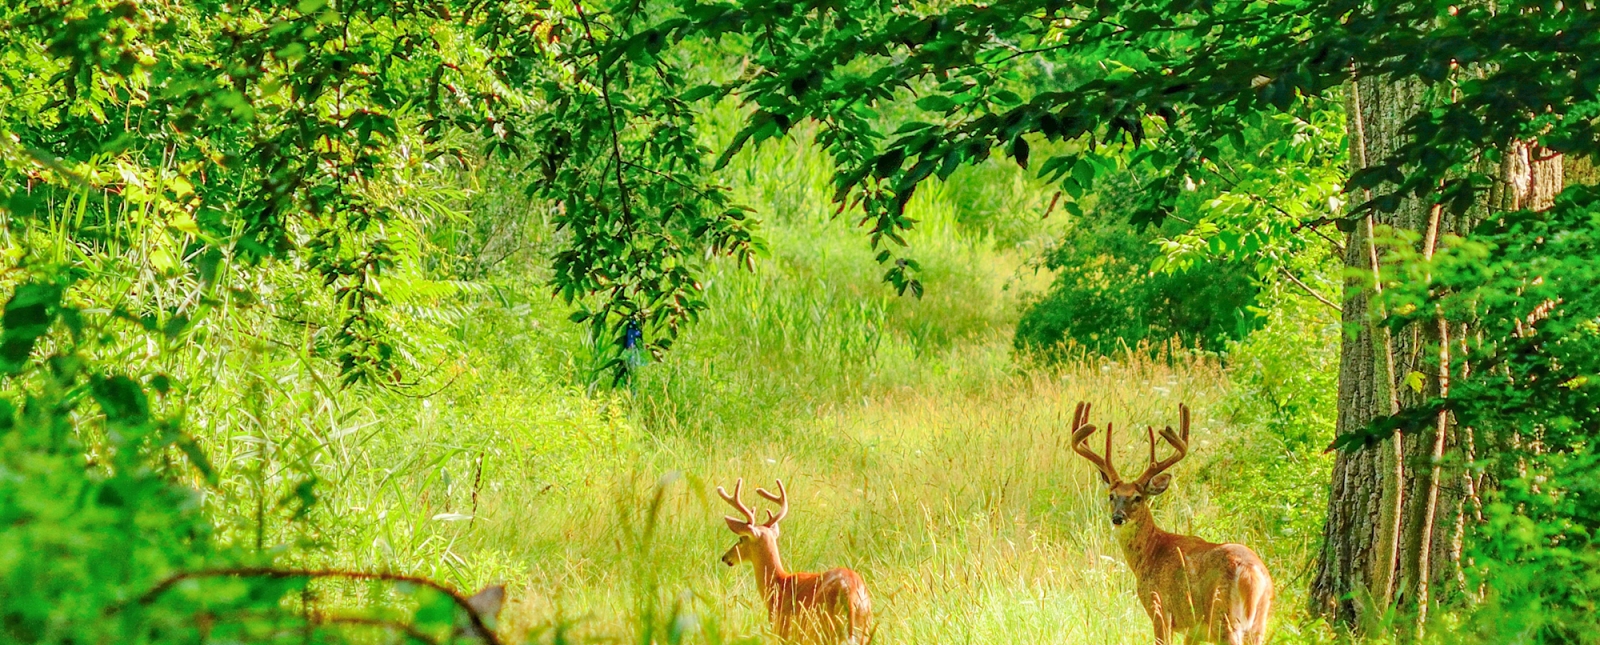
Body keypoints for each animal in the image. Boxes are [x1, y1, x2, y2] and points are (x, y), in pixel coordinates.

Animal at [720, 476, 876, 643]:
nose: (725, 557)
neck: (779, 583)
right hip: (864, 628)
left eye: (741, 539)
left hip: (825, 628)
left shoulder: (782, 629)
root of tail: (850, 593)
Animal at [1068, 403, 1280, 645]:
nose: (1117, 517)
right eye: (1112, 496)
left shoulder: (1159, 608)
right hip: (1258, 622)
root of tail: (1251, 573)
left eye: (1137, 498)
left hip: (1225, 619)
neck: (1151, 553)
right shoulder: (1193, 630)